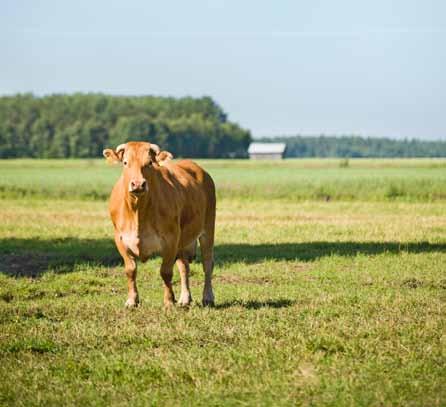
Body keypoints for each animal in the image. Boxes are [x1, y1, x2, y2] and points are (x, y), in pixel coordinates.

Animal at [104, 142, 216, 308]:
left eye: (149, 163)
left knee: (207, 264)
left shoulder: (171, 239)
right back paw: (185, 298)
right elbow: (130, 270)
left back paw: (208, 297)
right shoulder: (120, 239)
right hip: (183, 241)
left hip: (208, 229)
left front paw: (169, 301)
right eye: (125, 163)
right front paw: (132, 300)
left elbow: (166, 272)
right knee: (184, 267)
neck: (138, 211)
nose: (138, 184)